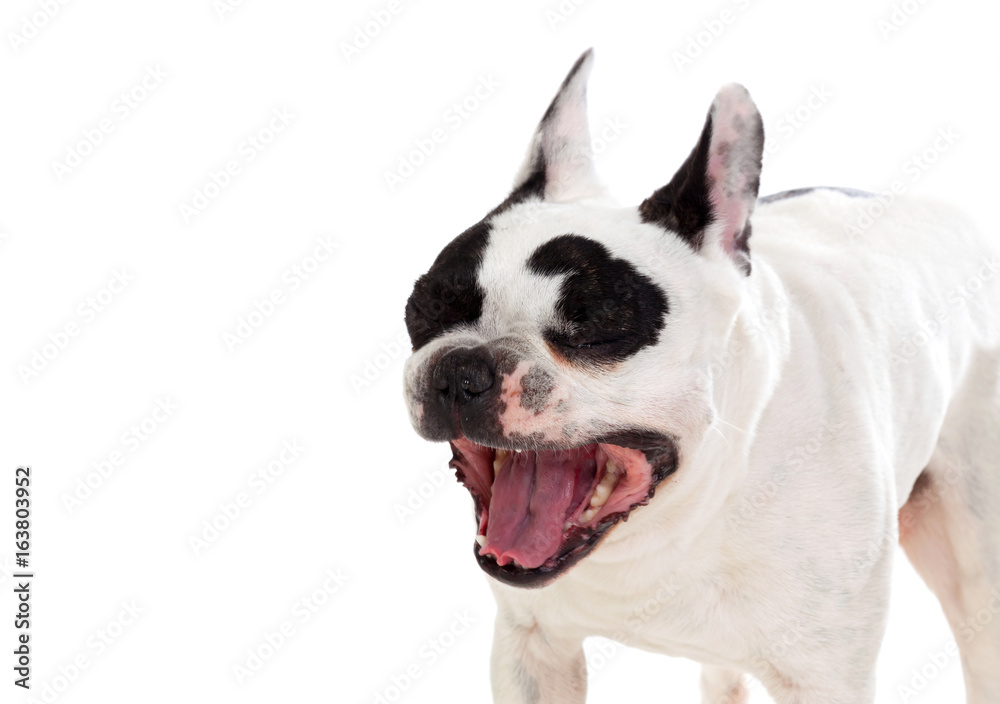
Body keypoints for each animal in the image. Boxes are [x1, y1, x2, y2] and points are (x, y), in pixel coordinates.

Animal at [400, 46, 1000, 700]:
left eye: (593, 329)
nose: (462, 369)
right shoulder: (530, 648)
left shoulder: (827, 677)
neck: (672, 524)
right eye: (422, 309)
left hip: (975, 561)